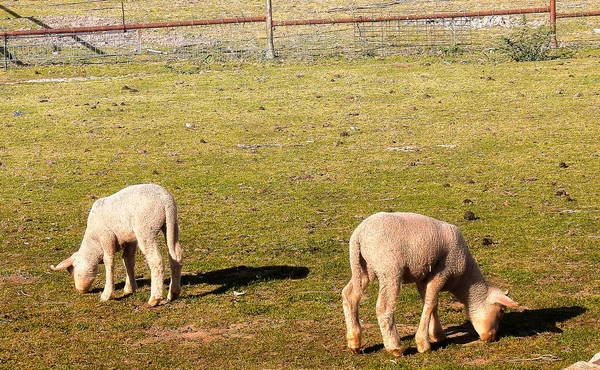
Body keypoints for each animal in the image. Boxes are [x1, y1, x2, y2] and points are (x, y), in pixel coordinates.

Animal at [50, 183, 183, 306]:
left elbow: (109, 261)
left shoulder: (106, 236)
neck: (94, 242)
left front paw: (107, 294)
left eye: (73, 271)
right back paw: (174, 293)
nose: (80, 290)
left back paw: (154, 299)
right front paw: (130, 288)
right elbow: (128, 260)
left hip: (146, 228)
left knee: (156, 260)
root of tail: (165, 199)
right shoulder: (130, 240)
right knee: (176, 256)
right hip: (171, 225)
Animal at [342, 214, 520, 356]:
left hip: (364, 268)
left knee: (349, 295)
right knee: (384, 308)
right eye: (501, 311)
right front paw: (423, 344)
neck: (465, 281)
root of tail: (358, 235)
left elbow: (430, 303)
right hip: (390, 269)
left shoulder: (424, 278)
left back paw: (354, 342)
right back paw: (395, 347)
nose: (491, 337)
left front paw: (437, 334)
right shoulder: (442, 272)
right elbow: (431, 303)